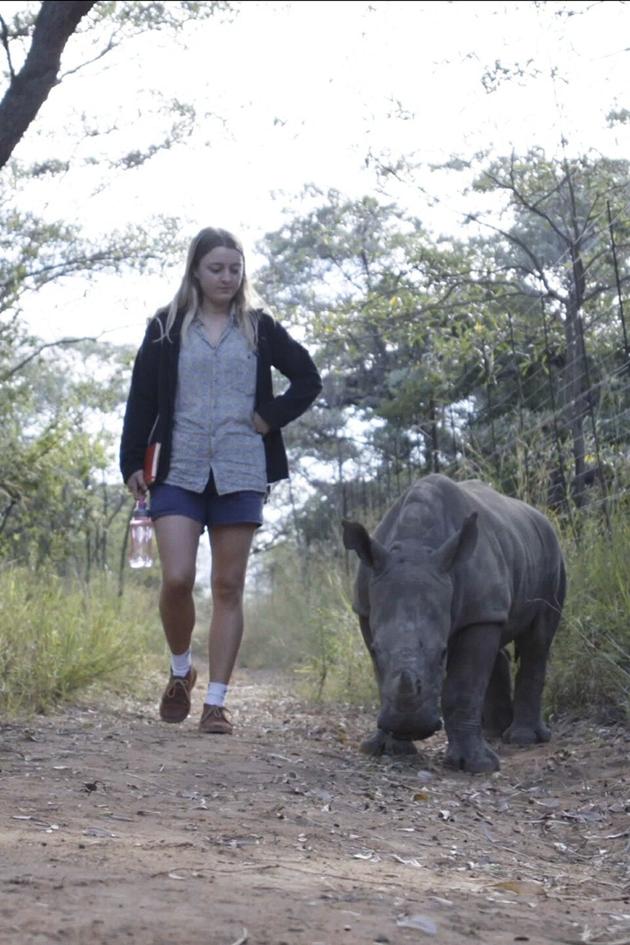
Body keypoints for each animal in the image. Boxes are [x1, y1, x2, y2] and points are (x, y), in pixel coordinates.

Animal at [342, 474, 566, 773]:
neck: (415, 544)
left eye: (442, 653)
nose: (409, 726)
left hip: (552, 554)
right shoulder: (365, 609)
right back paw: (494, 732)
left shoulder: (477, 614)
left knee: (537, 641)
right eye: (376, 652)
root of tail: (541, 517)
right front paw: (384, 749)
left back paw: (522, 739)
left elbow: (464, 686)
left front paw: (477, 766)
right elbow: (382, 678)